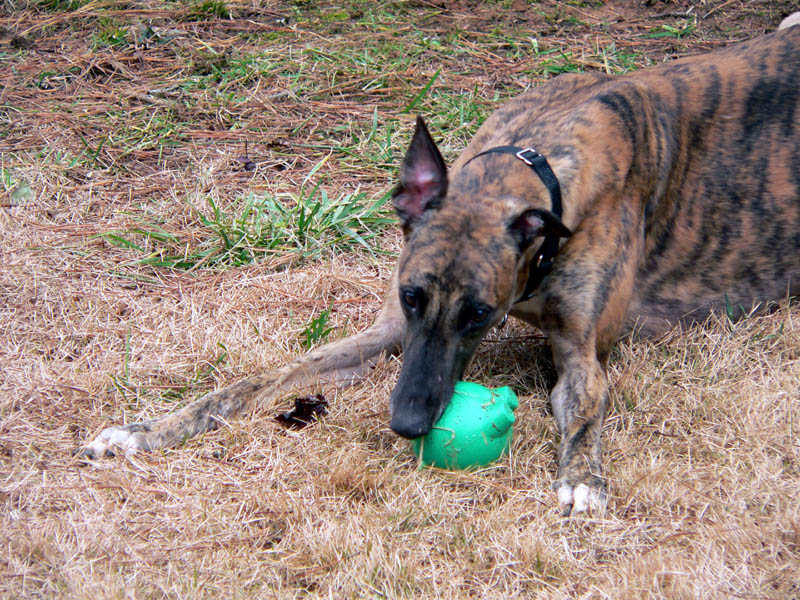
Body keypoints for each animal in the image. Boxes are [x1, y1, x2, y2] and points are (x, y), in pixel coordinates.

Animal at [79, 21, 800, 512]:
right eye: (410, 297)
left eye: (478, 314)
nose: (406, 424)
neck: (530, 166)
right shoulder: (386, 331)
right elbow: (257, 380)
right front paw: (144, 430)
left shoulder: (582, 351)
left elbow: (587, 402)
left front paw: (581, 478)